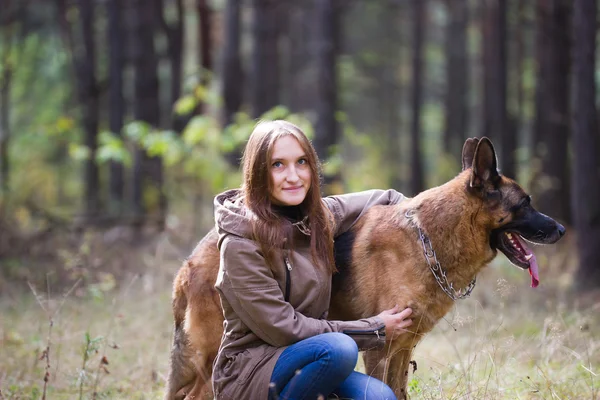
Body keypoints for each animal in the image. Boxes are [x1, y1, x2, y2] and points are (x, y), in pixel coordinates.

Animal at [165, 138, 568, 400]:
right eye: (525, 204)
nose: (562, 230)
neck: (428, 240)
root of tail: (187, 266)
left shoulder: (403, 349)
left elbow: (400, 392)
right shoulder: (380, 349)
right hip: (212, 360)